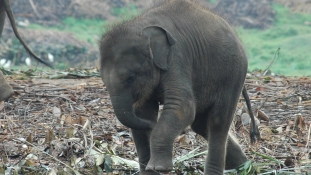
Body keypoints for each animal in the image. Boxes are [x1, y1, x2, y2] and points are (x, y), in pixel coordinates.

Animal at [101, 0, 255, 175]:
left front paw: (160, 168)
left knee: (217, 122)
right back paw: (244, 166)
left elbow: (182, 107)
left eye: (130, 78)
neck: (141, 27)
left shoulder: (177, 58)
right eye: (104, 81)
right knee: (201, 124)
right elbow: (142, 114)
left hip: (233, 75)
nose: (152, 125)